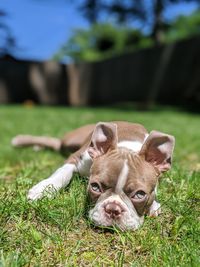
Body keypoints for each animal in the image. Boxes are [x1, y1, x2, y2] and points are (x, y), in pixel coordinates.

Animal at [12, 122, 175, 231]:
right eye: (95, 187)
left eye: (140, 195)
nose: (113, 209)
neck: (127, 148)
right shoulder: (76, 158)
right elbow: (62, 173)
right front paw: (42, 190)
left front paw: (153, 205)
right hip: (70, 140)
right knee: (56, 143)